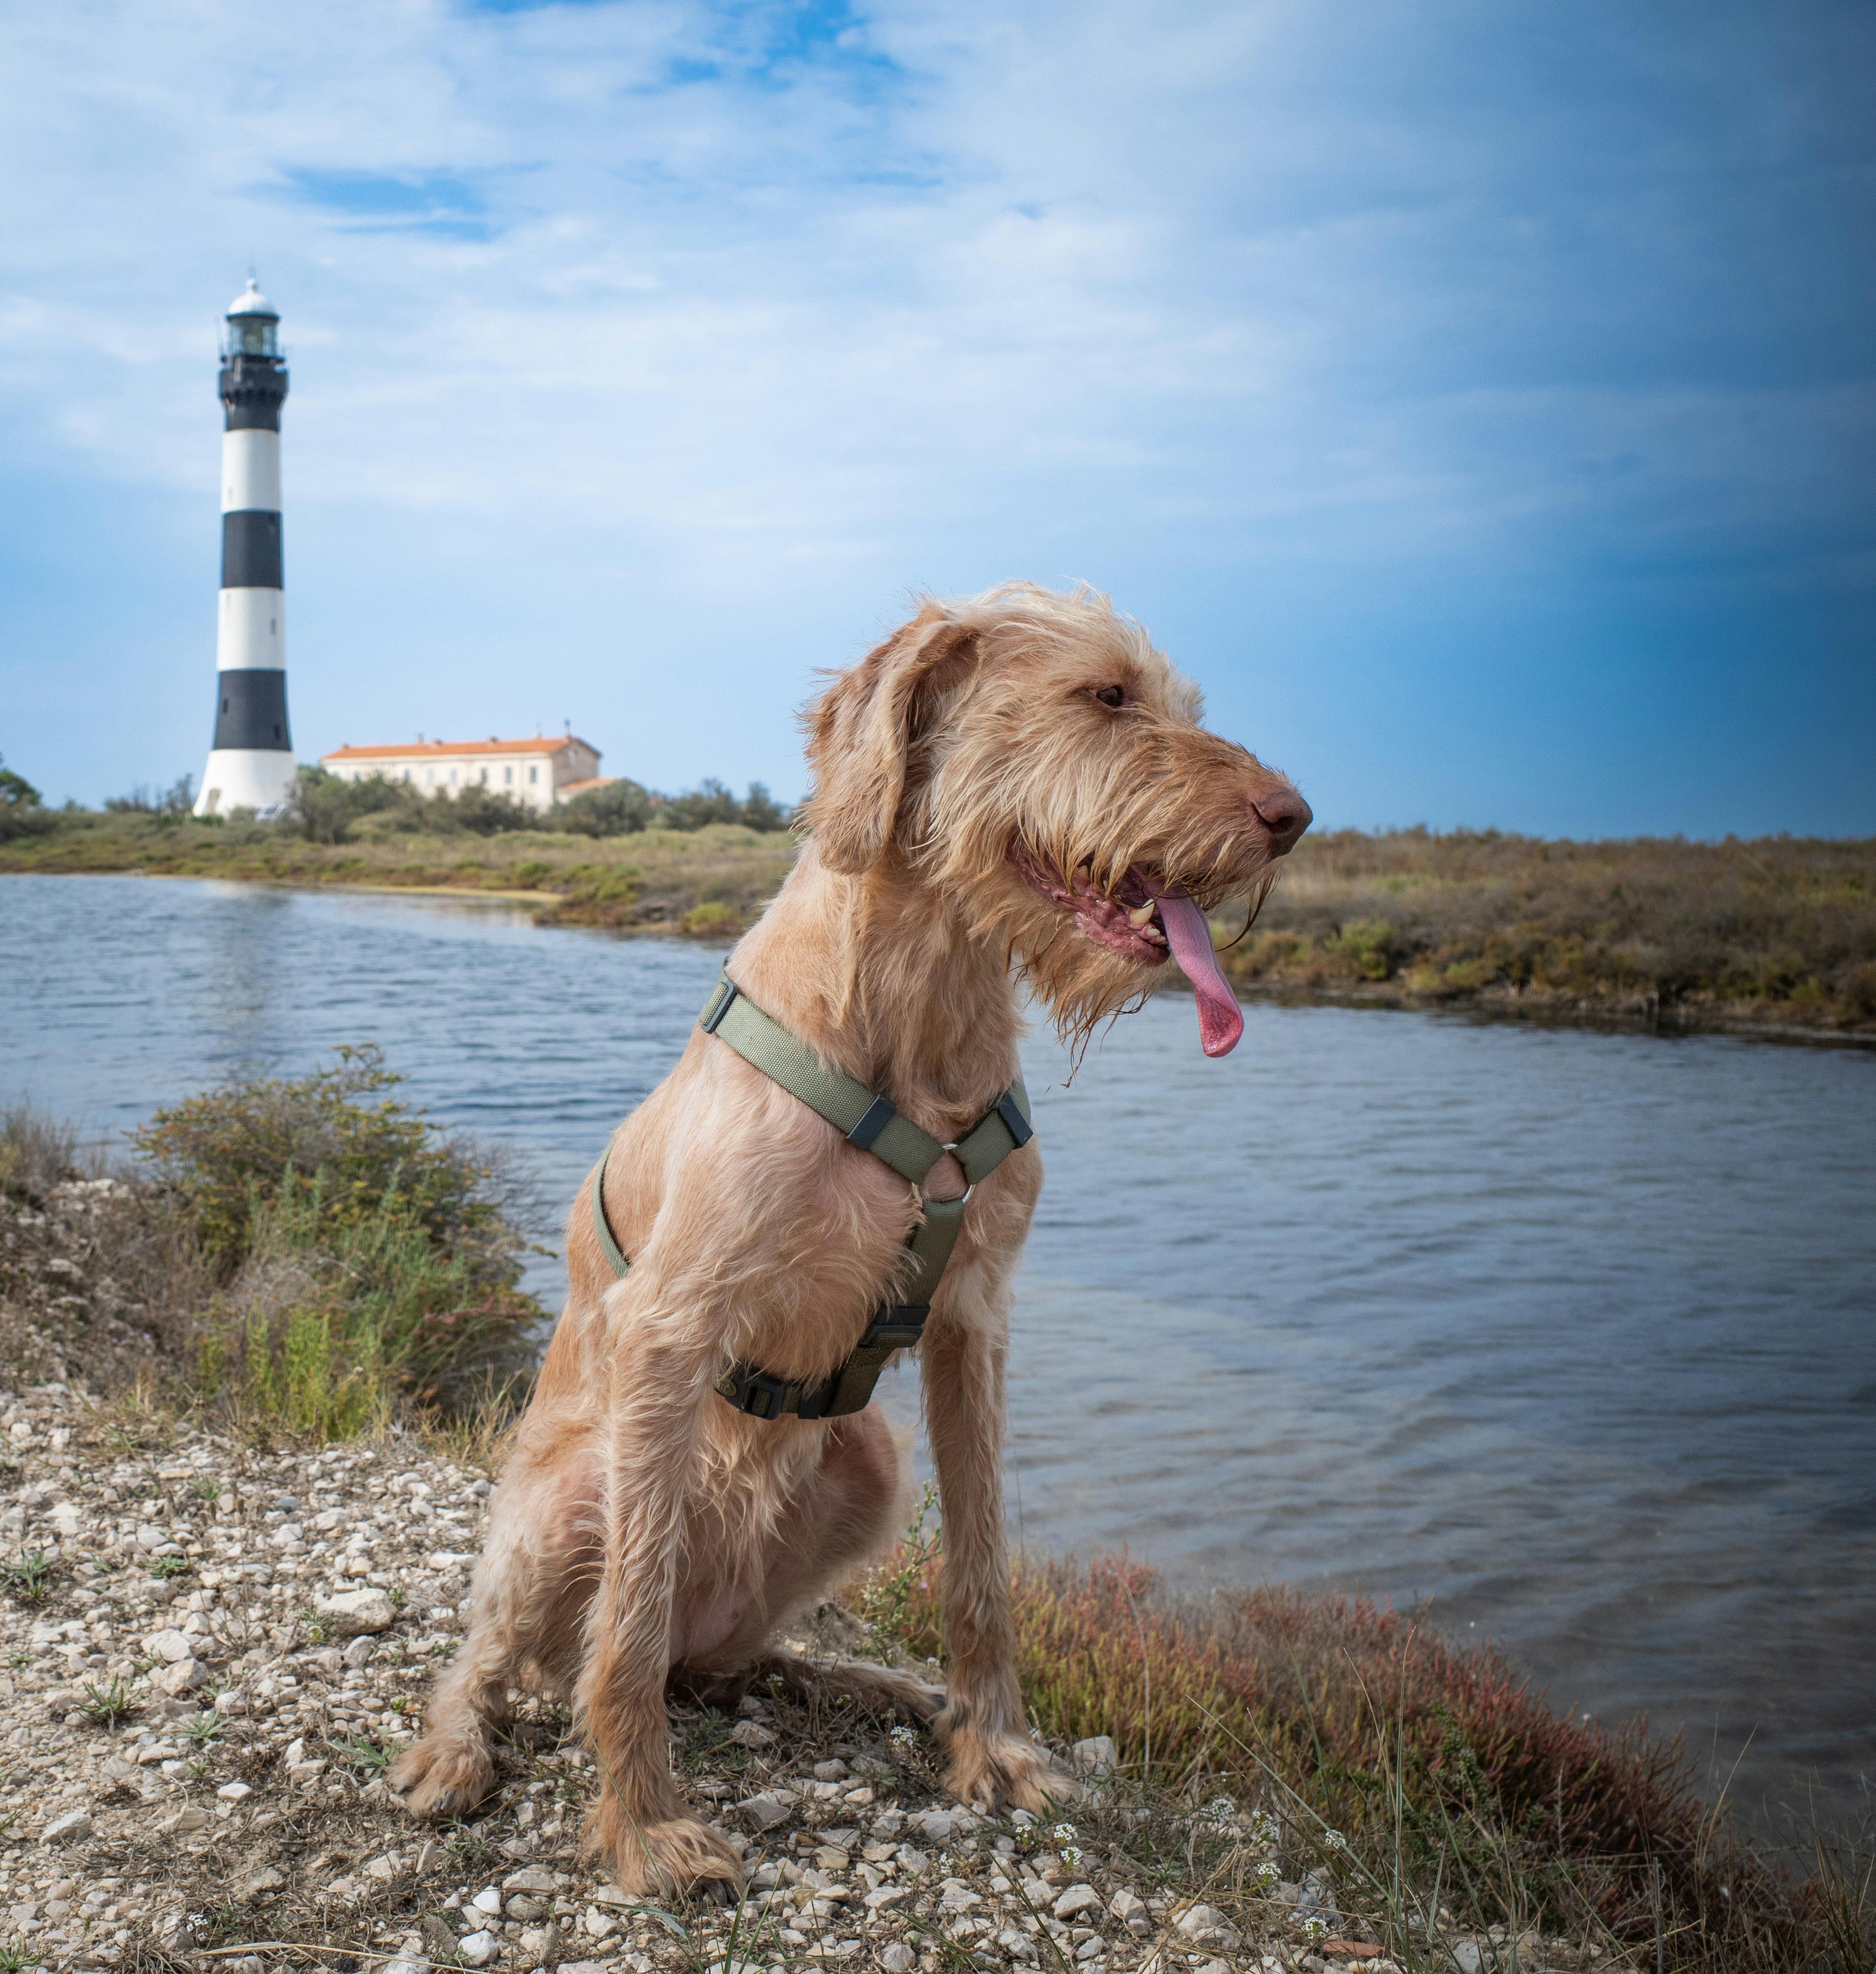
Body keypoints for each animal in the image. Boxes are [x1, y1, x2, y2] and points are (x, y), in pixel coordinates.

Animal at [389, 580, 1311, 1895]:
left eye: (1178, 703)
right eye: (1104, 695)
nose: (1291, 816)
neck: (917, 1003)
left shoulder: (975, 1319)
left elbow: (981, 1573)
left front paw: (994, 1747)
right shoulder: (669, 1326)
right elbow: (625, 1626)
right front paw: (641, 1826)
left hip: (865, 1467)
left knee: (726, 1658)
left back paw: (872, 1685)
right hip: (567, 1493)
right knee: (520, 1652)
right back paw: (456, 1746)